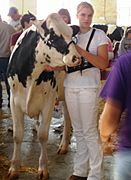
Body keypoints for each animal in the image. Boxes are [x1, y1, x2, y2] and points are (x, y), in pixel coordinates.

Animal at [6, 13, 81, 179]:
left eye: (71, 34)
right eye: (52, 36)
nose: (76, 58)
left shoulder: (48, 102)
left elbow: (43, 135)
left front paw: (43, 168)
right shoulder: (14, 102)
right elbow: (17, 135)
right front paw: (14, 168)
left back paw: (64, 144)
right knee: (67, 115)